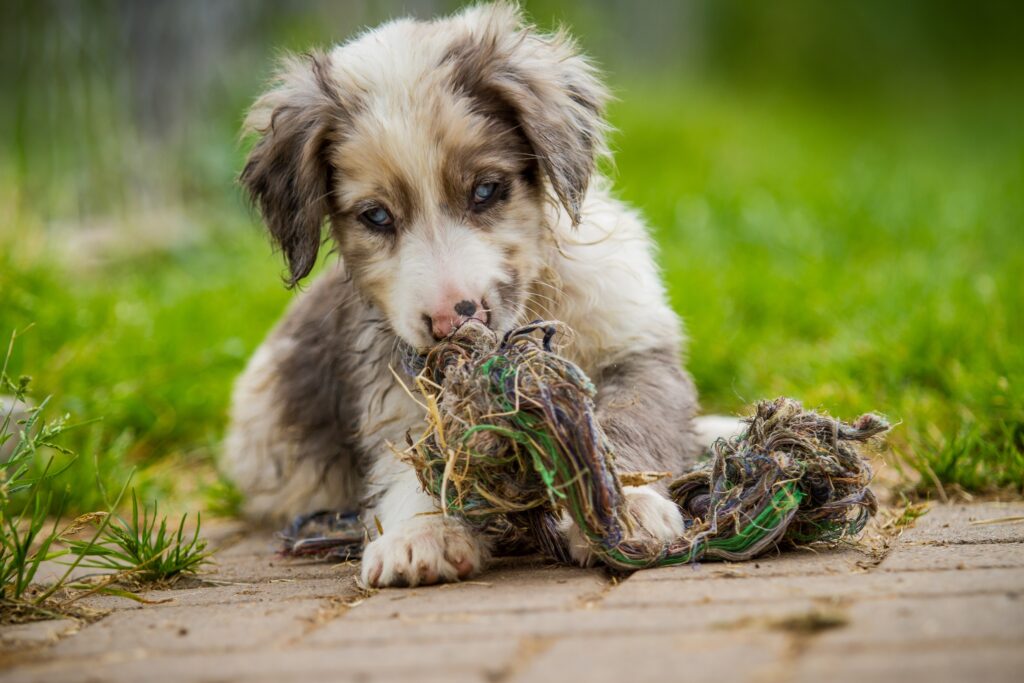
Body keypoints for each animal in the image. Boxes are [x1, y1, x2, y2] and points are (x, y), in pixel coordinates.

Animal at [224, 1, 737, 589]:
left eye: (487, 190)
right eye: (375, 216)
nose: (454, 321)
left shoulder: (634, 347)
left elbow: (628, 423)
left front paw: (623, 507)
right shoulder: (394, 386)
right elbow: (421, 456)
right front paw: (422, 533)